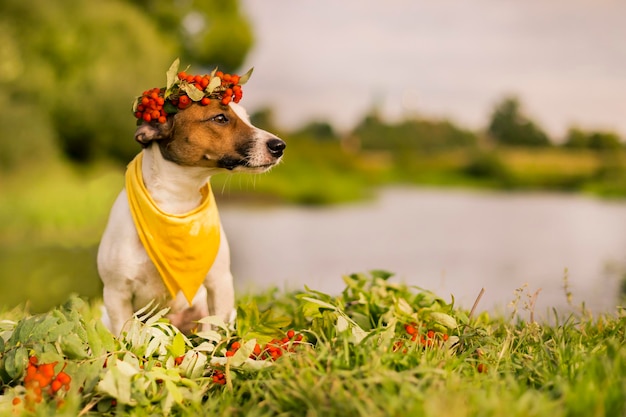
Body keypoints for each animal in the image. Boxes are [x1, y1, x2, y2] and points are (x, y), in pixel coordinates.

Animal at [97, 98, 286, 334]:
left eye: (247, 118)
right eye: (220, 118)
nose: (279, 145)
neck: (177, 203)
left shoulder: (220, 284)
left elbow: (217, 332)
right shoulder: (116, 294)